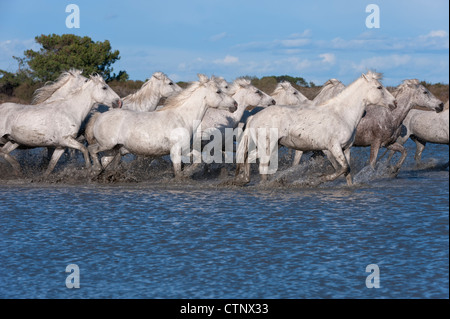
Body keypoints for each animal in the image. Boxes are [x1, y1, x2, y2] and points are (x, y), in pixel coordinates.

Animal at [85, 75, 237, 180]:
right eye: (218, 91)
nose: (235, 104)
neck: (181, 118)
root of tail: (99, 116)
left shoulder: (185, 149)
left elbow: (199, 158)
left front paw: (188, 172)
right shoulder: (175, 151)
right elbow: (178, 171)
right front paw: (183, 176)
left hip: (113, 149)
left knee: (103, 161)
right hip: (106, 145)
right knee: (91, 150)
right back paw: (95, 169)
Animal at [234, 71, 396, 186]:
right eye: (379, 87)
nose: (394, 103)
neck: (341, 114)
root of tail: (253, 117)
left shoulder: (346, 148)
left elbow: (348, 173)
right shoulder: (333, 147)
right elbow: (343, 168)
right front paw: (319, 179)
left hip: (272, 146)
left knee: (248, 158)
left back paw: (245, 179)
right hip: (268, 147)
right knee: (261, 166)